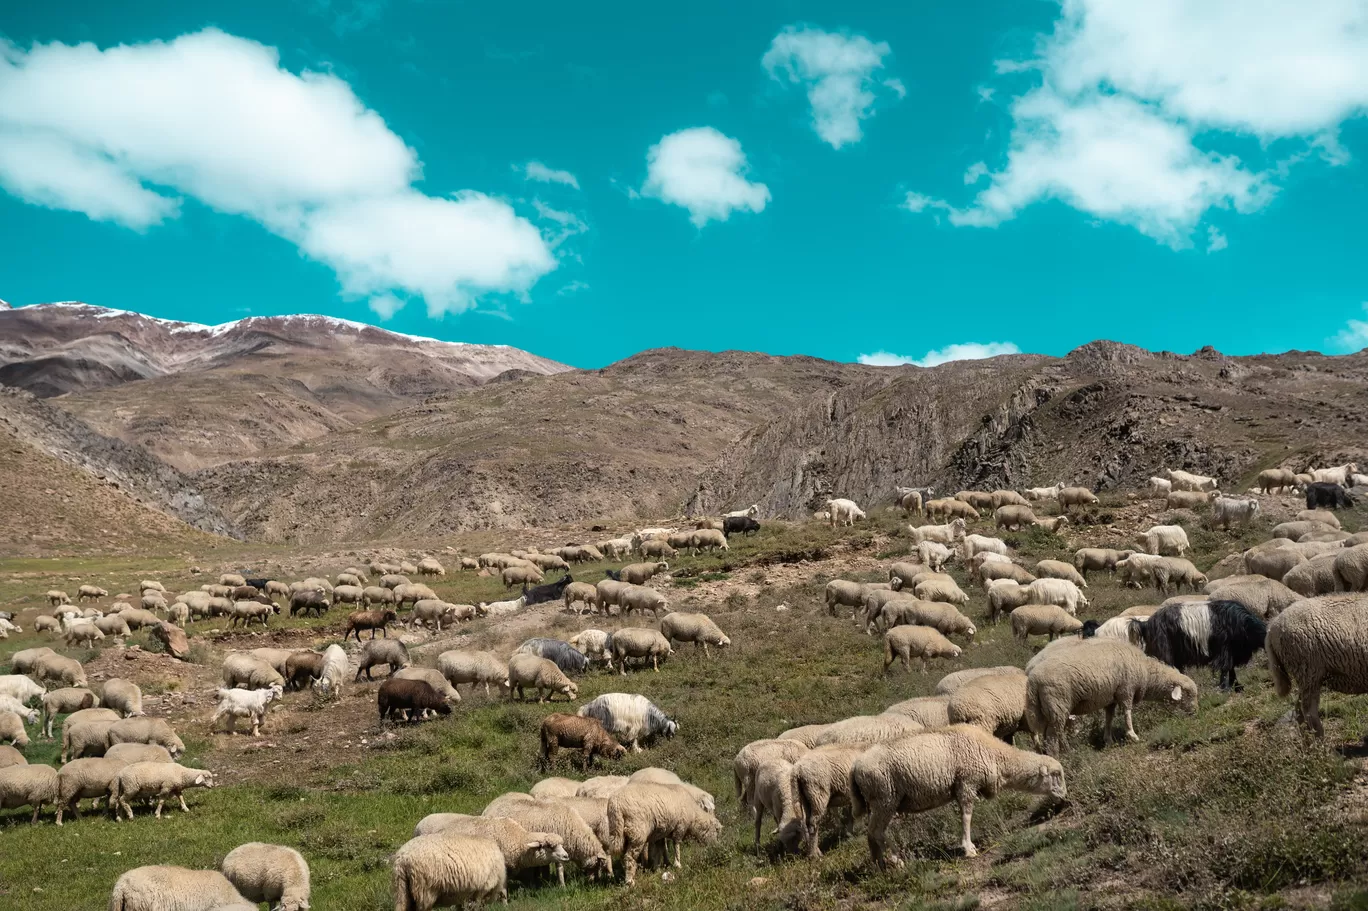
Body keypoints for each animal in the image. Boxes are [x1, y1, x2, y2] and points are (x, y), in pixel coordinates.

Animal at [1264, 593, 1368, 733]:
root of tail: (1272, 626)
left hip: (1307, 676)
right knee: (1309, 712)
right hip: (1308, 672)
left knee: (1299, 711)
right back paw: (1318, 736)